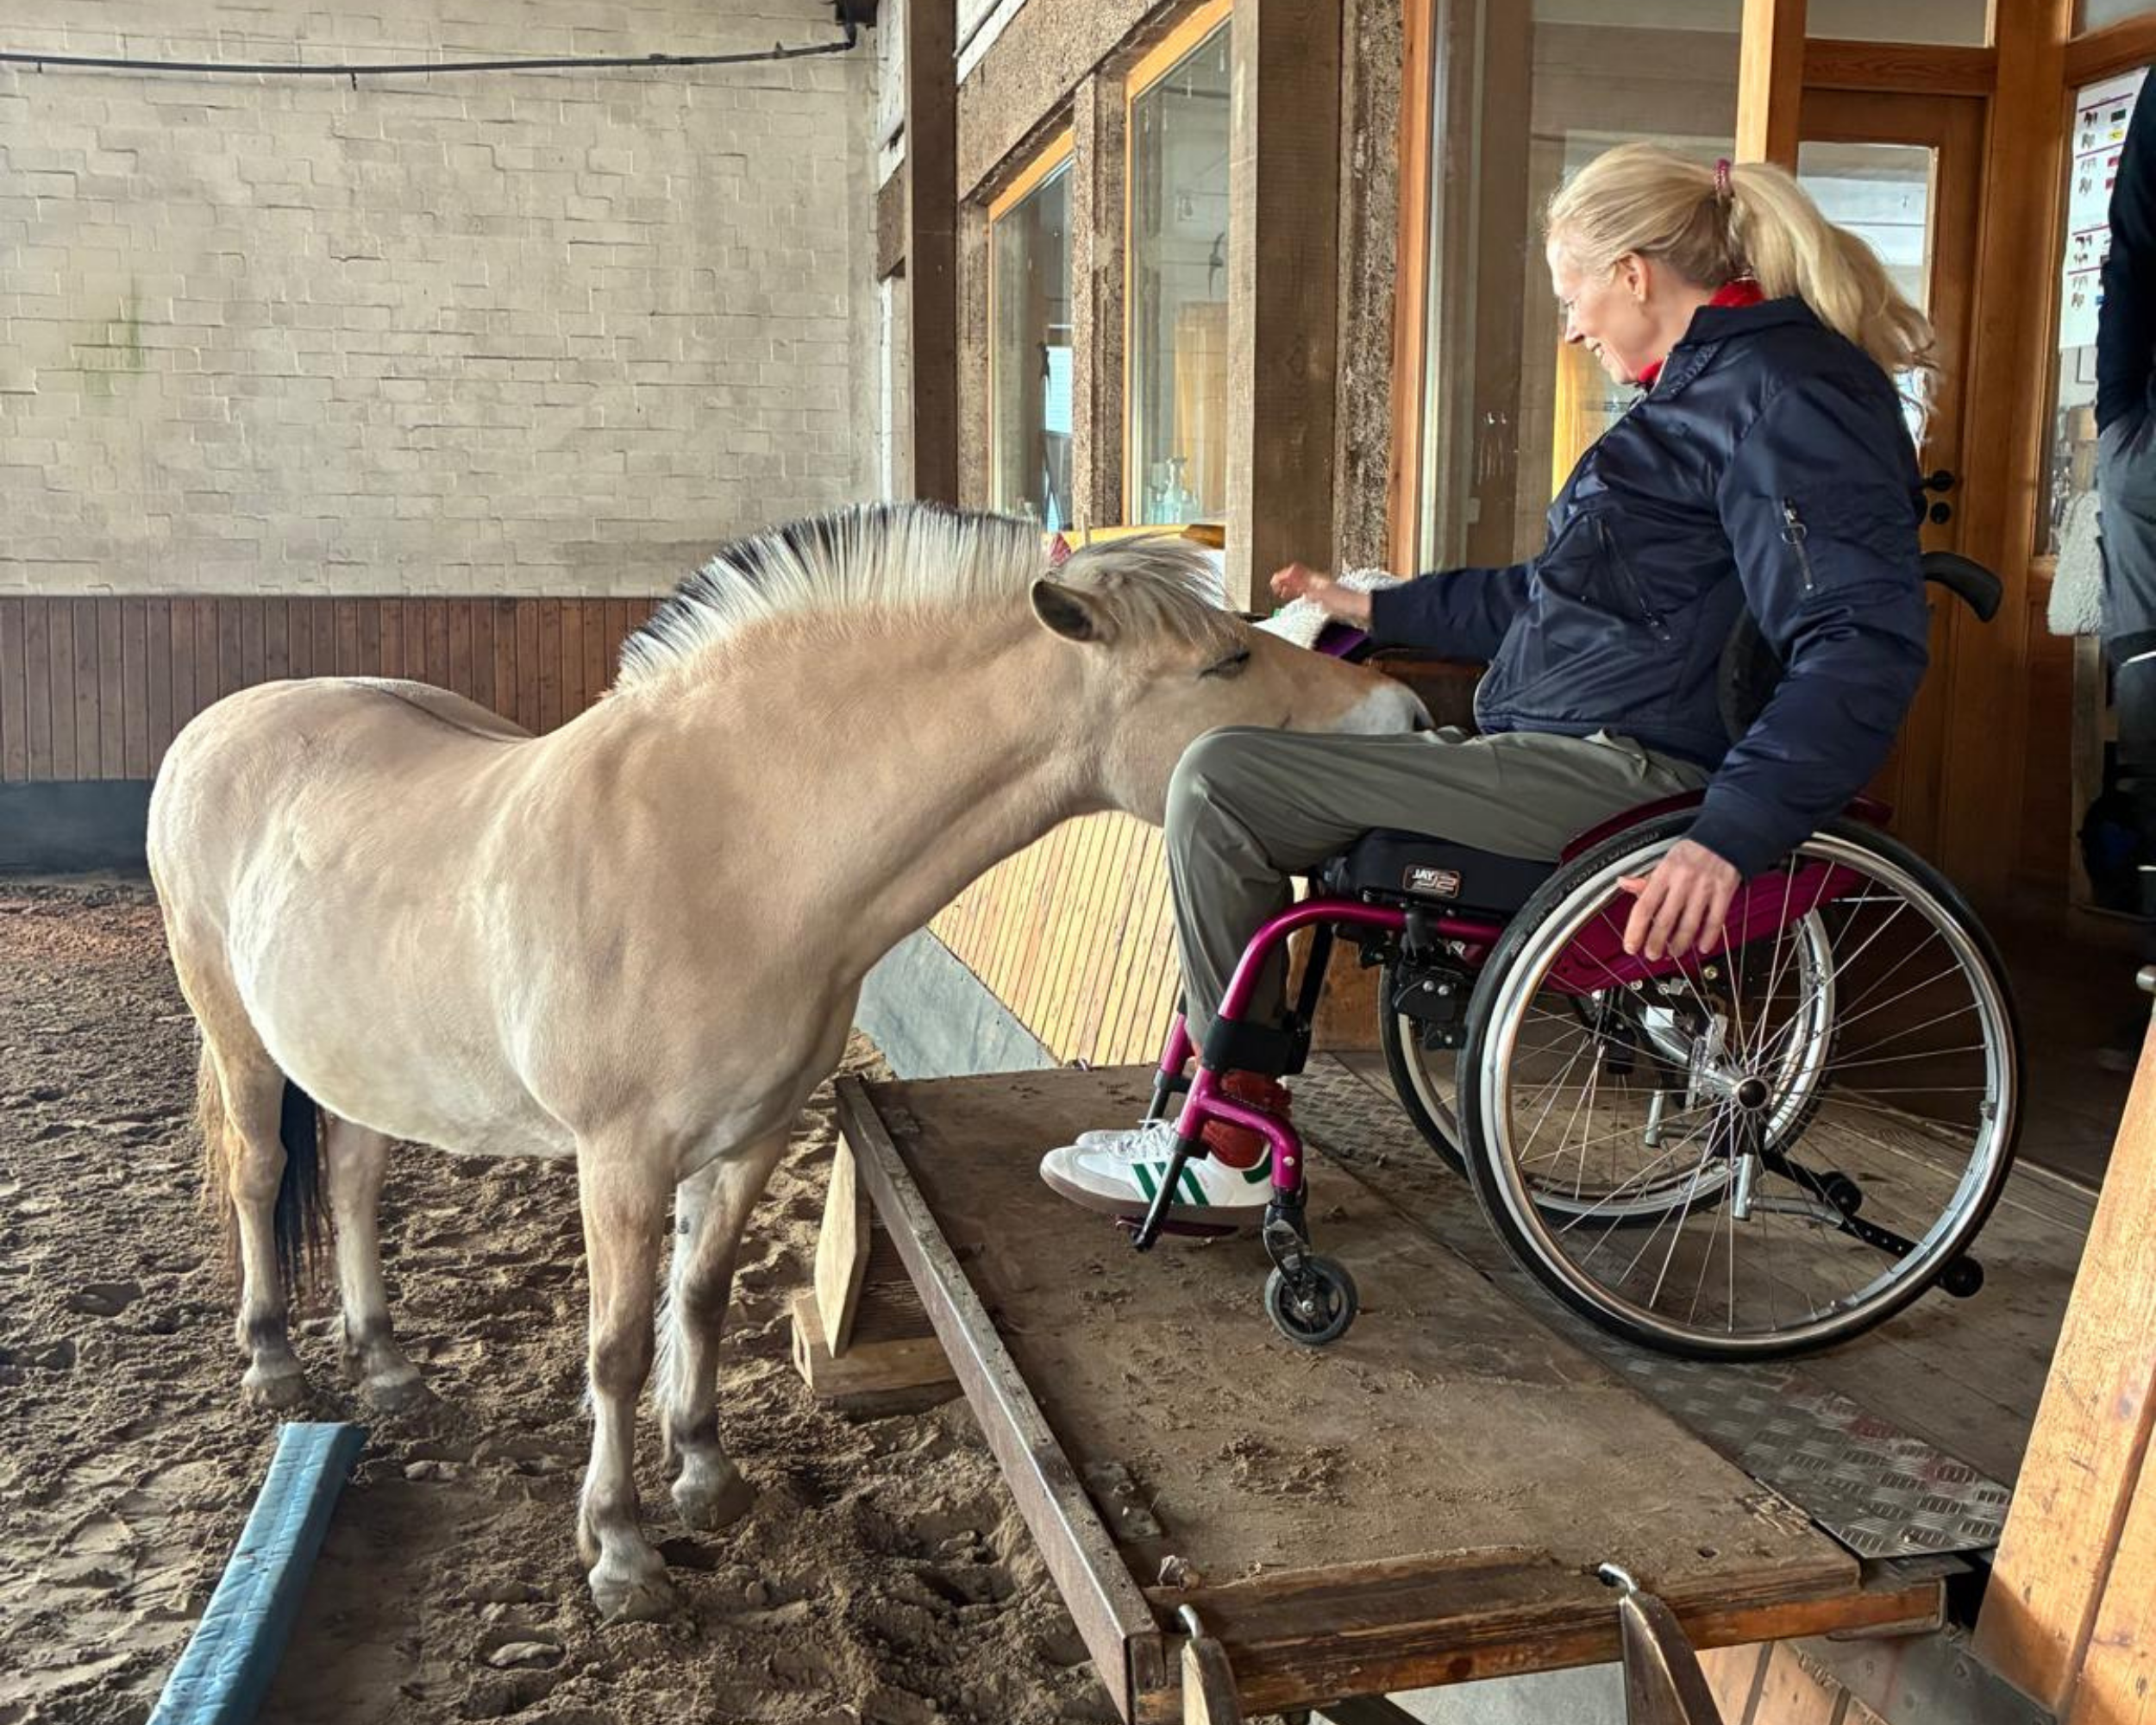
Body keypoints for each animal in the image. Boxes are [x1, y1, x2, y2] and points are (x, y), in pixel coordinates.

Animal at [148, 501, 1428, 1620]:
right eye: (1224, 662)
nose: (1410, 717)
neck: (727, 850)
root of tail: (224, 723)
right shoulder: (620, 1162)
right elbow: (617, 1346)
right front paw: (621, 1551)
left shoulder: (750, 1141)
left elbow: (700, 1301)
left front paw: (706, 1479)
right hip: (238, 1034)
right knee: (262, 1176)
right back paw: (274, 1364)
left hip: (361, 1062)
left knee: (355, 1183)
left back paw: (386, 1364)